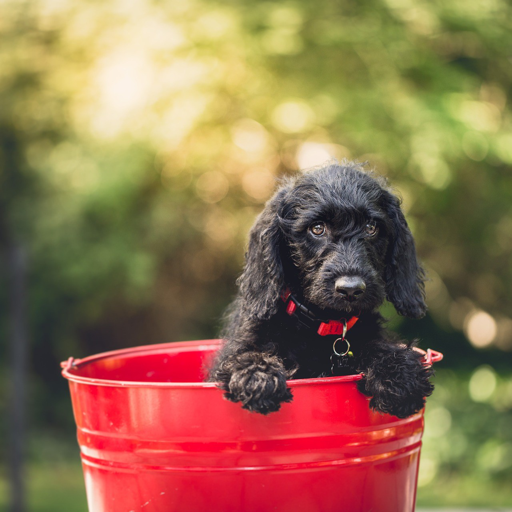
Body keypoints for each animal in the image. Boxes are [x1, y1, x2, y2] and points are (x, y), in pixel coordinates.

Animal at [208, 162, 432, 418]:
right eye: (317, 229)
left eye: (371, 227)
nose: (351, 289)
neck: (322, 323)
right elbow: (245, 355)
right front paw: (257, 376)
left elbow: (380, 347)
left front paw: (399, 374)